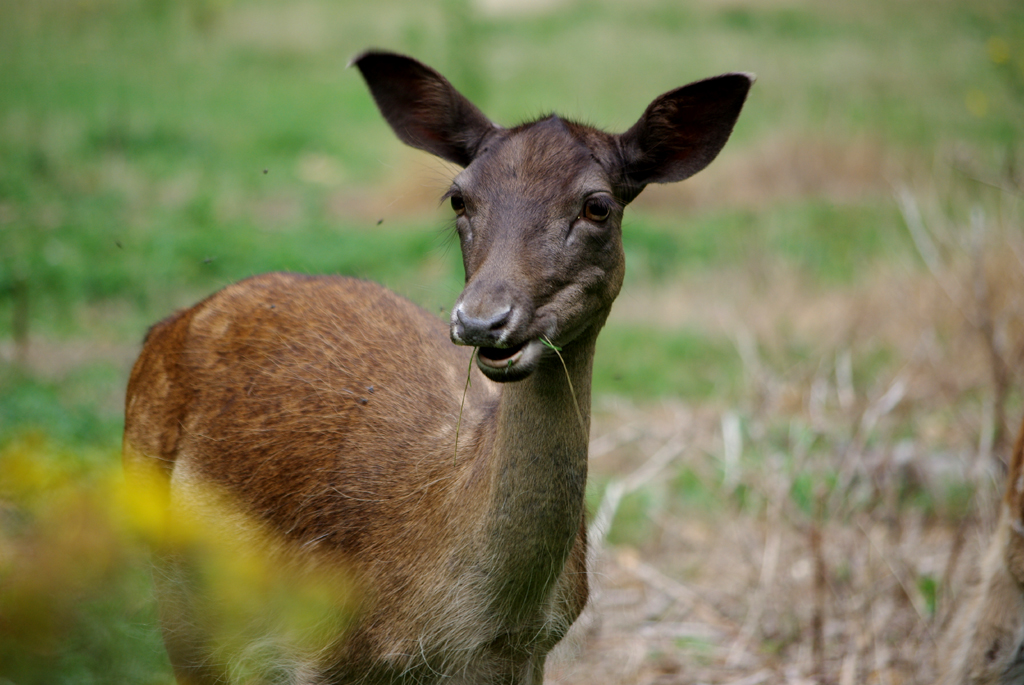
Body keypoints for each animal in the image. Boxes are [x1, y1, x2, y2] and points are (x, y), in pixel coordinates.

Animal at [123, 50, 753, 684]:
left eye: (597, 205)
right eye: (459, 197)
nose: (482, 320)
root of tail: (172, 323)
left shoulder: (531, 653)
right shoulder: (314, 656)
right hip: (175, 587)